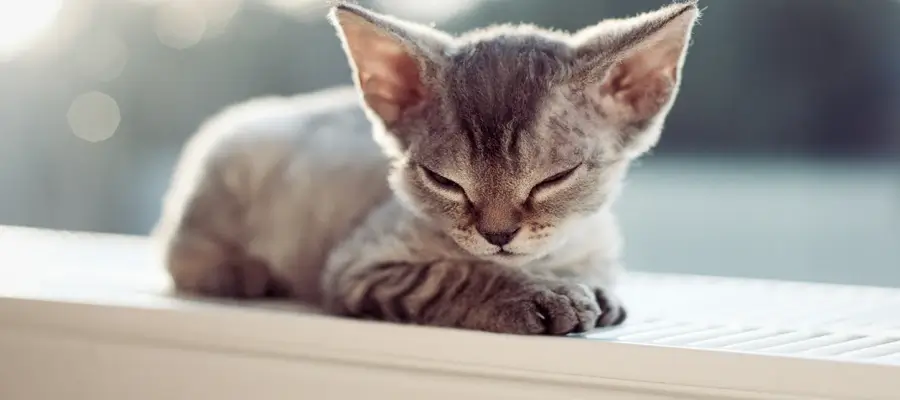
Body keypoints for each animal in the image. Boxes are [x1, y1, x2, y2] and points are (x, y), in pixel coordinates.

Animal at [155, 1, 700, 336]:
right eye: (446, 183)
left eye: (554, 179)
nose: (498, 234)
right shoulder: (361, 267)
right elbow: (457, 274)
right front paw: (542, 295)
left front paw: (596, 294)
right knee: (178, 253)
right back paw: (239, 272)